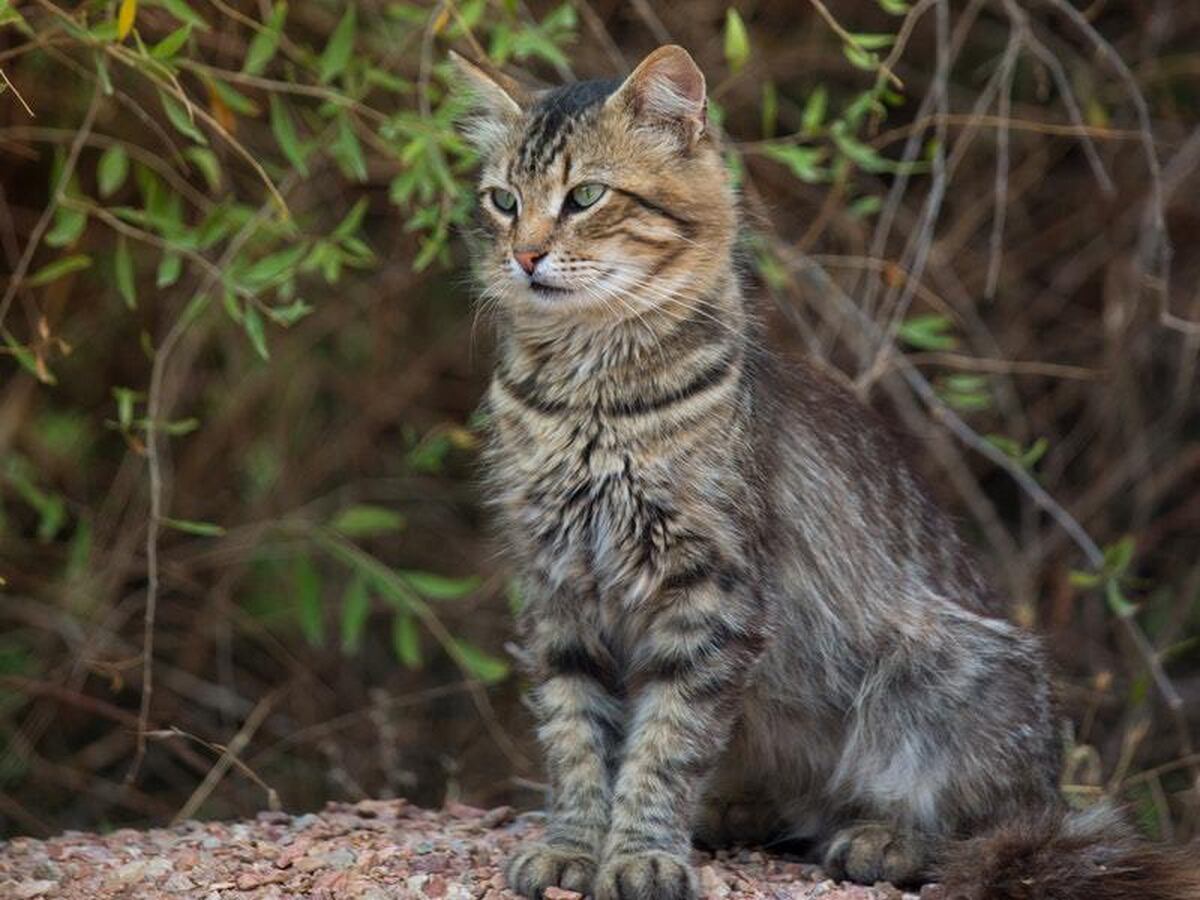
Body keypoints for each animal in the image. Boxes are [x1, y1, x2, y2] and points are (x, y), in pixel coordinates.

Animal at [451, 45, 1200, 900]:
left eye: (585, 196)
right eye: (503, 200)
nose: (524, 255)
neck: (589, 396)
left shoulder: (710, 593)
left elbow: (664, 746)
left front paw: (641, 853)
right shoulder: (558, 588)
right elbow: (576, 740)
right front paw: (575, 845)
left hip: (948, 672)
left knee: (988, 826)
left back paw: (882, 839)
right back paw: (737, 813)